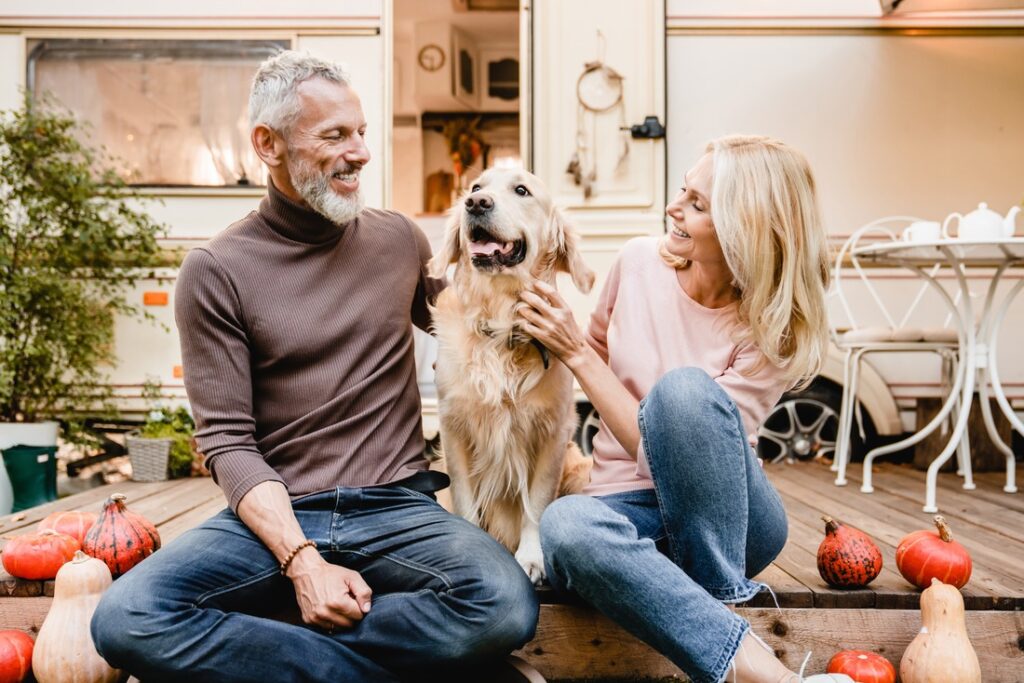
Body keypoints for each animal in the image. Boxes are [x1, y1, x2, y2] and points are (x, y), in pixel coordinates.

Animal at [428, 166, 598, 581]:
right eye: (475, 187)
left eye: (522, 190)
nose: (475, 204)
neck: (501, 323)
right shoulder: (454, 429)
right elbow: (466, 501)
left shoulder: (553, 432)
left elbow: (536, 504)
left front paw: (532, 558)